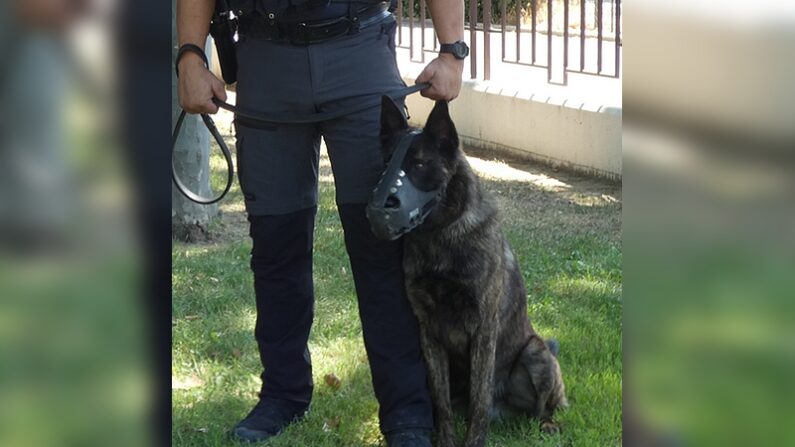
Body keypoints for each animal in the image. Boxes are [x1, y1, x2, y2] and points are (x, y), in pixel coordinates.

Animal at [378, 99, 564, 447]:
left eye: (419, 164)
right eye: (386, 164)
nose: (384, 203)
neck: (440, 237)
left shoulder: (483, 329)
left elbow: (480, 399)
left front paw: (474, 440)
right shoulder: (428, 332)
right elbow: (441, 402)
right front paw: (446, 440)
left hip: (537, 353)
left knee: (541, 408)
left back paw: (547, 424)